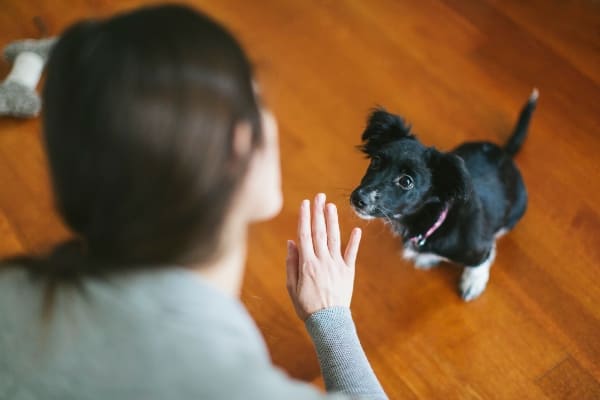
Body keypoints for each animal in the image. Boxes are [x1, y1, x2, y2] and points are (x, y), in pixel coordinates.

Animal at [350, 90, 536, 302]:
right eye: (375, 161)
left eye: (406, 181)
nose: (358, 198)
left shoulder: (478, 248)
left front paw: (473, 282)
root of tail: (505, 153)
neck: (433, 222)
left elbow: (481, 261)